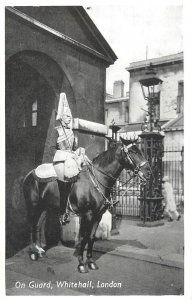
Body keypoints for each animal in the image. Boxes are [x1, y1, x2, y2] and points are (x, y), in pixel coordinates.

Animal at [22, 137, 152, 274]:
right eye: (133, 151)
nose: (149, 172)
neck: (97, 180)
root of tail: (30, 173)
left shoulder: (98, 215)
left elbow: (91, 238)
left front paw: (91, 262)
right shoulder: (87, 215)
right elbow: (83, 238)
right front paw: (81, 264)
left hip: (44, 208)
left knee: (37, 226)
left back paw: (39, 251)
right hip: (33, 206)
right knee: (31, 226)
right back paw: (33, 253)